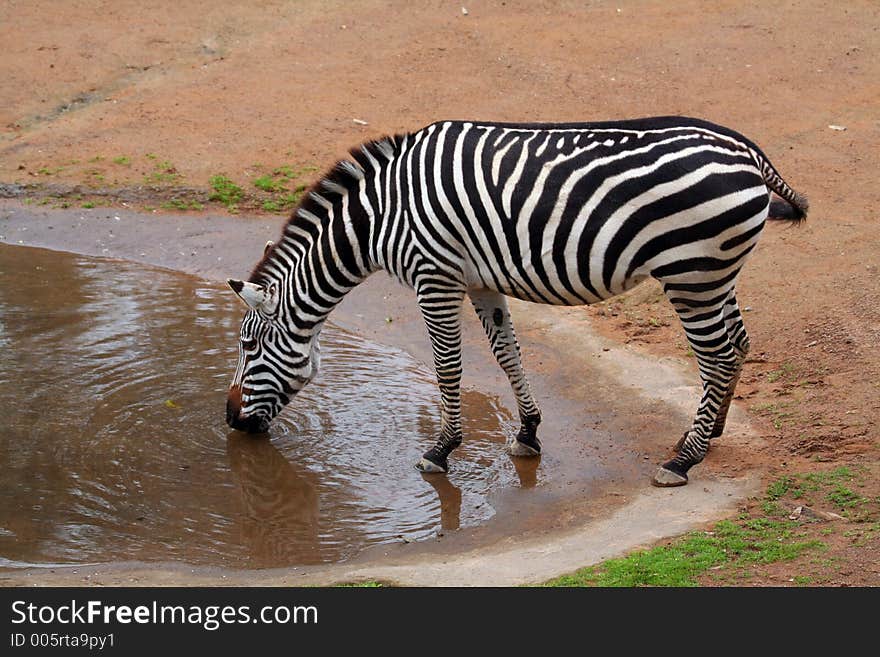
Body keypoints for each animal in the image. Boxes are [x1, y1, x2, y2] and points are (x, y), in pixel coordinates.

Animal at [223, 116, 808, 486]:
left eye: (248, 346)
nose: (229, 421)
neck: (380, 217)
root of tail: (748, 151)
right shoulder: (480, 280)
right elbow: (506, 353)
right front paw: (527, 432)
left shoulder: (434, 276)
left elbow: (449, 366)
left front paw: (441, 449)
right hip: (714, 274)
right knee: (739, 343)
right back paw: (708, 433)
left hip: (691, 273)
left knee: (719, 355)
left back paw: (684, 461)